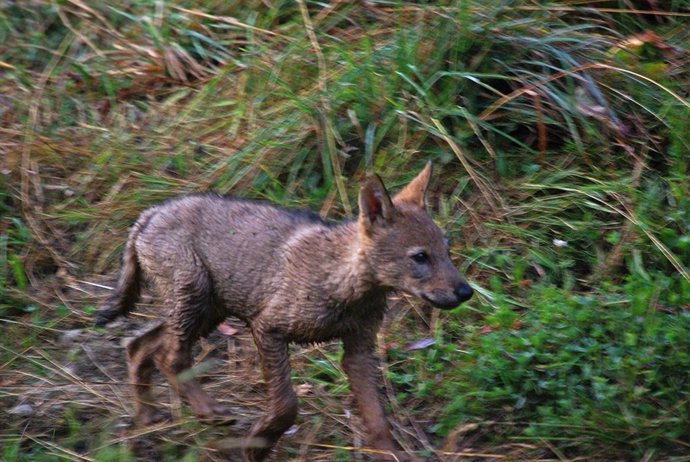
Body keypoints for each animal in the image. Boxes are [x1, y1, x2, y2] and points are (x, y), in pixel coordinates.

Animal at [95, 162, 473, 461]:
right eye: (420, 257)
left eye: (447, 251)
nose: (467, 292)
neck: (342, 280)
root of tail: (150, 213)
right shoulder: (268, 329)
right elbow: (286, 405)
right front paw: (256, 446)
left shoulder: (359, 351)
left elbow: (377, 419)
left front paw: (392, 456)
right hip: (195, 303)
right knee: (169, 357)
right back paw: (208, 413)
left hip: (206, 313)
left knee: (139, 345)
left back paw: (146, 420)